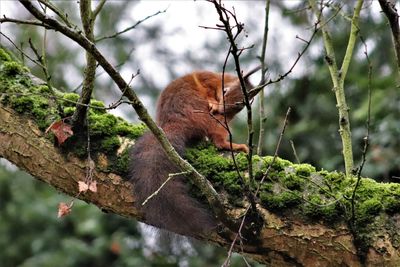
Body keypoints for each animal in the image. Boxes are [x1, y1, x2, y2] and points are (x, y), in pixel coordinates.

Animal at [130, 70, 258, 238]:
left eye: (241, 105)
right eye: (225, 91)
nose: (221, 109)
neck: (220, 80)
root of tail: (174, 123)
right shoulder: (207, 78)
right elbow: (204, 86)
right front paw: (212, 100)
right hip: (205, 117)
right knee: (218, 140)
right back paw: (234, 146)